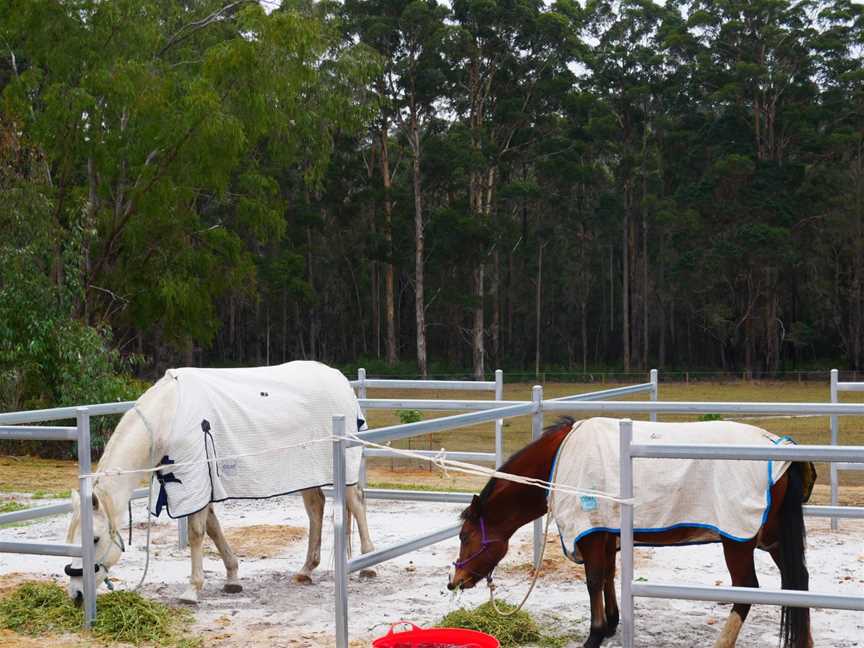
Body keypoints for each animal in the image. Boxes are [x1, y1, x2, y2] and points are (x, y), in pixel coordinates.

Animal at [64, 370, 374, 608]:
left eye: (94, 539)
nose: (77, 595)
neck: (168, 416)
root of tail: (340, 380)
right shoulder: (200, 487)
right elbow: (213, 528)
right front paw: (232, 577)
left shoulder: (194, 480)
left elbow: (196, 533)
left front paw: (192, 590)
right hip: (305, 472)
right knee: (316, 508)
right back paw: (306, 570)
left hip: (342, 469)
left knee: (357, 504)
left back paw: (368, 565)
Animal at [448, 418, 812, 644]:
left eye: (465, 536)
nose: (455, 581)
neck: (558, 460)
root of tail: (782, 453)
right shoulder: (607, 534)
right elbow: (609, 575)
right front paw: (611, 623)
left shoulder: (591, 534)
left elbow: (594, 579)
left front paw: (595, 634)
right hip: (774, 539)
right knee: (798, 583)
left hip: (738, 541)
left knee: (747, 591)